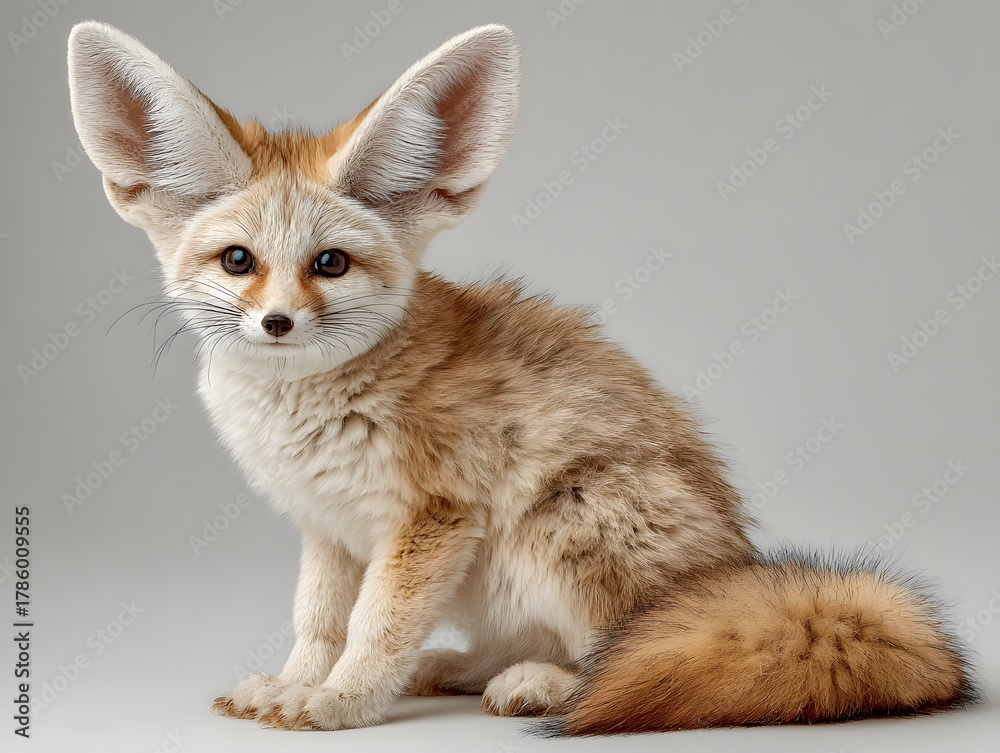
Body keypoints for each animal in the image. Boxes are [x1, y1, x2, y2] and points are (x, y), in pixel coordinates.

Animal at [67, 21, 976, 734]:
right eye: (238, 261)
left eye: (329, 264)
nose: (278, 322)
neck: (308, 410)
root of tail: (740, 573)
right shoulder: (328, 528)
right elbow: (319, 623)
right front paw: (296, 684)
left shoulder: (432, 517)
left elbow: (374, 626)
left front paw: (341, 702)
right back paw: (464, 667)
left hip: (563, 523)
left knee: (622, 661)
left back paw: (549, 687)